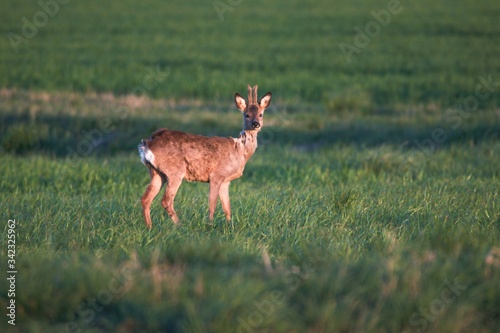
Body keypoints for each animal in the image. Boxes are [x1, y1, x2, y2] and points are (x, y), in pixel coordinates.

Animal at [139, 84, 272, 227]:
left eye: (260, 114)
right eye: (246, 115)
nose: (256, 124)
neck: (239, 151)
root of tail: (147, 143)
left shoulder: (226, 181)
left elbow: (227, 207)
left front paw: (229, 225)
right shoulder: (216, 175)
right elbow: (212, 204)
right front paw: (210, 225)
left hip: (157, 173)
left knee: (146, 198)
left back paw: (150, 227)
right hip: (175, 170)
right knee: (166, 200)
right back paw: (180, 225)